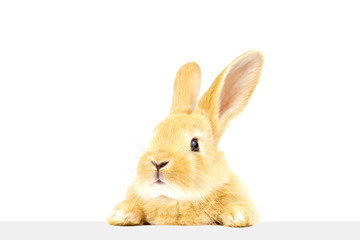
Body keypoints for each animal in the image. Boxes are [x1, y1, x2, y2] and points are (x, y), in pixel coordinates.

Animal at [107, 50, 264, 227]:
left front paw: (238, 216)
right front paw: (121, 215)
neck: (173, 200)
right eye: (154, 135)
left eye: (195, 144)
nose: (158, 162)